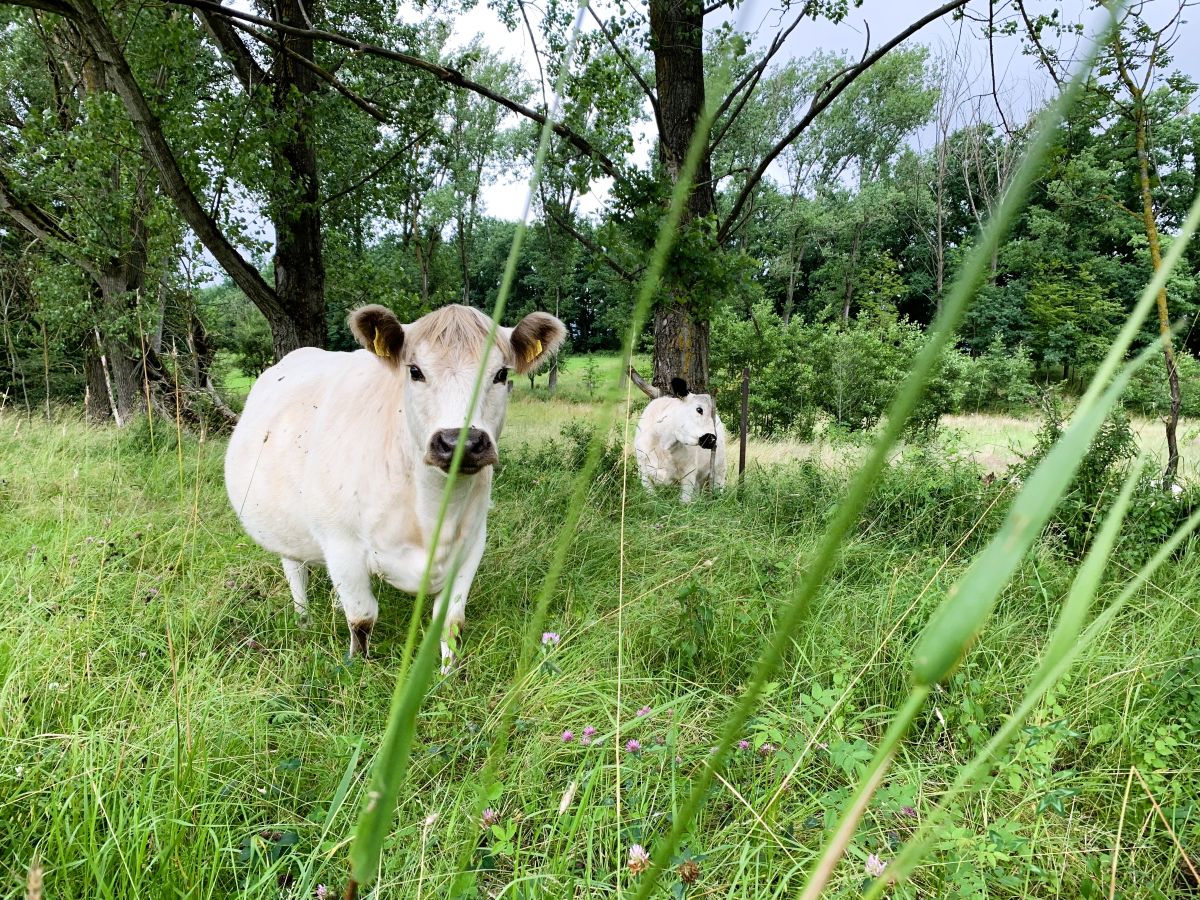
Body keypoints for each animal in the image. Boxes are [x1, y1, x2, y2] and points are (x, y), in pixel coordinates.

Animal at [224, 303, 566, 670]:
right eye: (415, 371)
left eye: (501, 374)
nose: (460, 442)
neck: (433, 514)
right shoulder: (341, 543)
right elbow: (362, 618)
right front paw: (357, 671)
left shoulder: (471, 545)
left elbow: (450, 622)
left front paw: (447, 675)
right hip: (289, 531)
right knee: (295, 572)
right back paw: (304, 620)